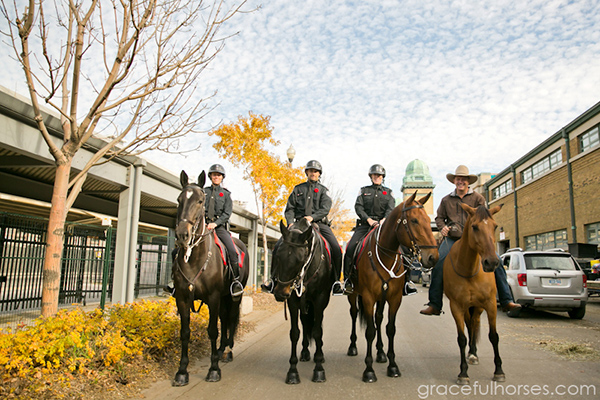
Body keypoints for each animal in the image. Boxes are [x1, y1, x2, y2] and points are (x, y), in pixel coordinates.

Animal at [172, 170, 250, 386]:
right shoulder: (182, 297)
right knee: (224, 318)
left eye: (200, 201)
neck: (194, 259)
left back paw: (228, 350)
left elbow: (212, 330)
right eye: (179, 199)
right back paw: (222, 349)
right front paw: (182, 371)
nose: (182, 235)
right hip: (223, 297)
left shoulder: (214, 297)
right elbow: (185, 332)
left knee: (230, 318)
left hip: (233, 295)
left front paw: (213, 369)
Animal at [270, 219, 332, 384]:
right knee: (305, 323)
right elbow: (295, 333)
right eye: (278, 256)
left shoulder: (320, 299)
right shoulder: (293, 301)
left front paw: (318, 370)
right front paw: (292, 372)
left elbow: (317, 332)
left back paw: (319, 355)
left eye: (300, 260)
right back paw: (304, 353)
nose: (280, 293)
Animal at [344, 192, 438, 382]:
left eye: (428, 220)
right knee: (354, 314)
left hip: (382, 298)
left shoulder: (394, 298)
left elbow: (390, 329)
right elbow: (370, 331)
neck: (384, 255)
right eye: (414, 221)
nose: (433, 257)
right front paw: (369, 370)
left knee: (379, 318)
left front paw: (392, 365)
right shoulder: (368, 298)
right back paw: (353, 347)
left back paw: (380, 353)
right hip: (353, 295)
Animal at [442, 203, 504, 384]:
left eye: (495, 226)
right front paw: (463, 373)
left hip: (478, 307)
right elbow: (461, 338)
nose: (491, 262)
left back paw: (473, 353)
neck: (469, 270)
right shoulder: (456, 306)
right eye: (474, 227)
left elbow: (494, 336)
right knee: (470, 325)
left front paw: (499, 371)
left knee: (474, 323)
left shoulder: (491, 304)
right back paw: (471, 353)